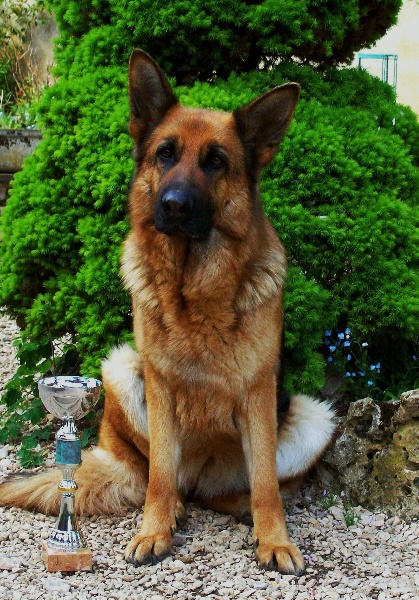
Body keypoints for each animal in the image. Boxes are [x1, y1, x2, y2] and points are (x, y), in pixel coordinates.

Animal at [0, 50, 336, 574]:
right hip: (120, 369)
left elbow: (265, 484)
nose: (174, 206)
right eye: (165, 154)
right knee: (162, 479)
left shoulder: (259, 393)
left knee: (241, 489)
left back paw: (241, 509)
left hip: (314, 418)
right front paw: (153, 532)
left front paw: (275, 539)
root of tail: (202, 477)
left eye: (216, 161)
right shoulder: (158, 386)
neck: (193, 289)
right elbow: (159, 473)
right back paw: (174, 507)